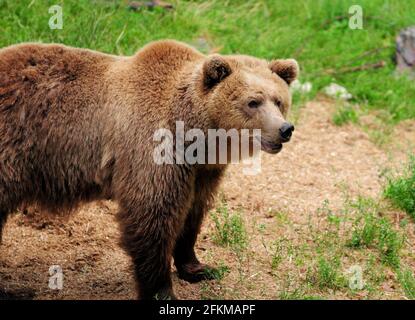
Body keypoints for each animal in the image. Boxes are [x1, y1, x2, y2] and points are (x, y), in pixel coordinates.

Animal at [0, 39, 300, 298]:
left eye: (279, 100)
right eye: (253, 102)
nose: (285, 129)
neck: (193, 136)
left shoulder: (201, 170)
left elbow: (193, 212)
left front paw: (199, 268)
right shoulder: (154, 150)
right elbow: (153, 216)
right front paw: (161, 290)